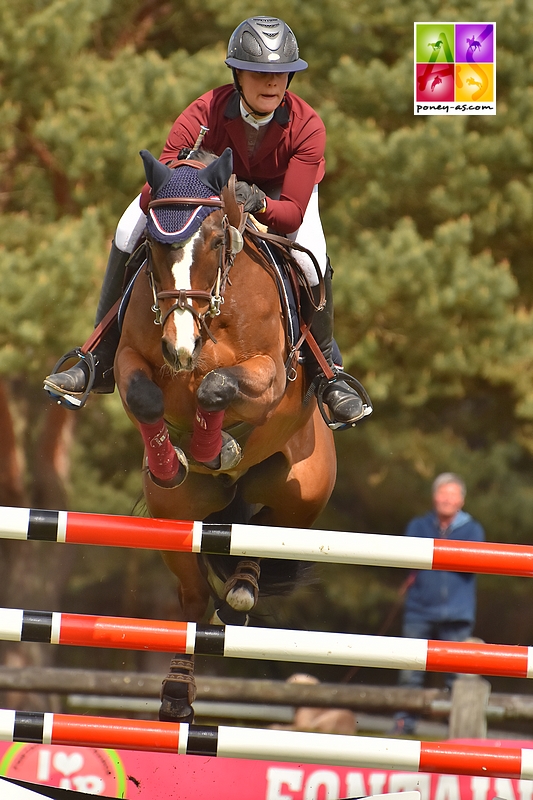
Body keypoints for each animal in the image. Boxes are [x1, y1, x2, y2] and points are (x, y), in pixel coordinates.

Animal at [114, 145, 336, 724]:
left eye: (216, 240)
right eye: (152, 244)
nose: (179, 345)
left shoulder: (269, 376)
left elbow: (216, 386)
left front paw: (217, 447)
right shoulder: (131, 359)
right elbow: (149, 398)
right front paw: (175, 461)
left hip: (304, 495)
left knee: (265, 531)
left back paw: (242, 585)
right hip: (177, 520)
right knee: (193, 601)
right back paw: (176, 694)